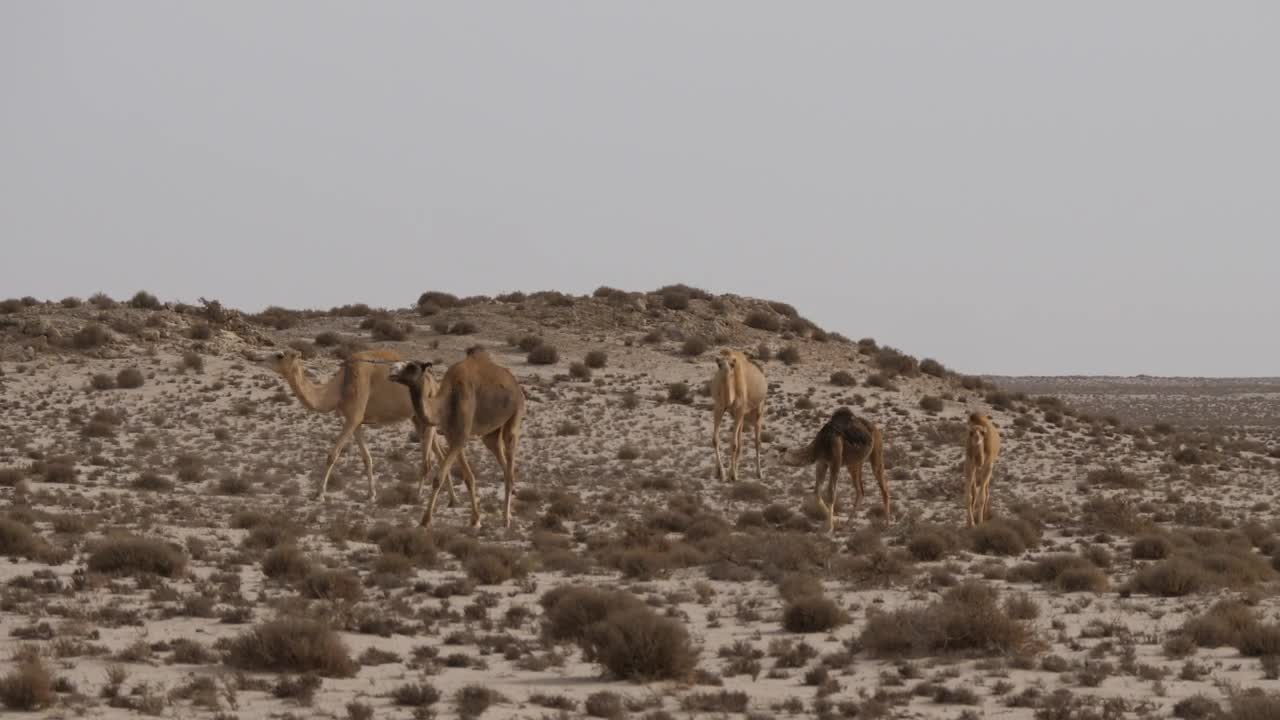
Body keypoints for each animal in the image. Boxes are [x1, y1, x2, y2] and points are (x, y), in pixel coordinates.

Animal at [266, 348, 455, 505]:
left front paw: (319, 494)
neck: (340, 386)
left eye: (280, 355)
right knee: (441, 455)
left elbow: (332, 455)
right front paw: (371, 495)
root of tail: (434, 382)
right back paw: (452, 499)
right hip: (418, 418)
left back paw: (417, 497)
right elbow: (366, 458)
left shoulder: (353, 417)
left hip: (427, 416)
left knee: (427, 461)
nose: (261, 360)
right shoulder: (356, 422)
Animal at [388, 347, 525, 528]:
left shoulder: (460, 436)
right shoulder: (452, 436)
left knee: (509, 451)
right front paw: (475, 519)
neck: (446, 402)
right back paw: (510, 504)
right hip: (491, 432)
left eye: (411, 366)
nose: (391, 370)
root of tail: (515, 384)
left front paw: (425, 520)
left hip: (515, 415)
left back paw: (506, 519)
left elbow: (438, 478)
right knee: (499, 455)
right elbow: (468, 478)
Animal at [711, 349, 767, 482]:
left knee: (757, 442)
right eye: (719, 364)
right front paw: (721, 473)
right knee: (741, 443)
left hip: (758, 409)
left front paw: (732, 474)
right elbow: (715, 440)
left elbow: (733, 444)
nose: (725, 371)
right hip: (742, 415)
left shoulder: (739, 411)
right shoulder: (719, 407)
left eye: (732, 365)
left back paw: (759, 473)